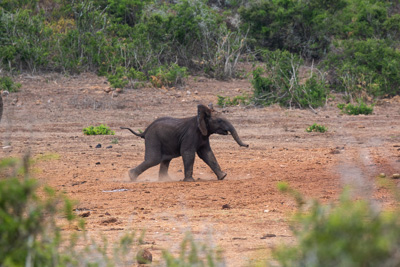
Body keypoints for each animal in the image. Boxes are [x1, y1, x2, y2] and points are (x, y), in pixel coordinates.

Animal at [120, 104, 248, 182]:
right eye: (219, 121)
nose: (247, 145)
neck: (200, 116)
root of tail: (145, 130)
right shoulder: (190, 135)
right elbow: (188, 153)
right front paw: (190, 181)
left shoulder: (204, 136)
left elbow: (207, 154)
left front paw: (223, 177)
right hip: (153, 138)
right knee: (153, 159)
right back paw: (131, 177)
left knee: (165, 160)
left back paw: (166, 180)